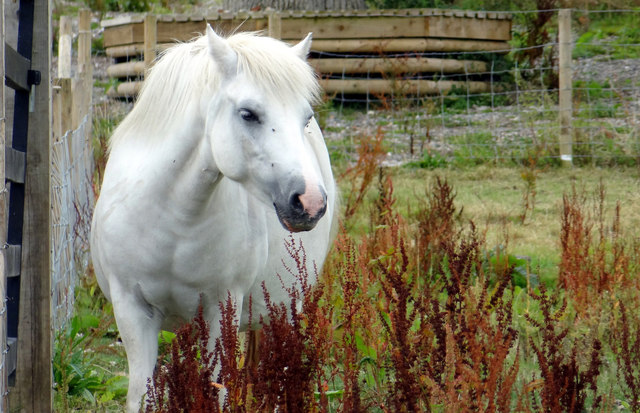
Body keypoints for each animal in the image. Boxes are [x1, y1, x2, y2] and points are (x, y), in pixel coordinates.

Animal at [92, 26, 338, 412]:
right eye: (248, 114)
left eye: (306, 118)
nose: (310, 202)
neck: (173, 222)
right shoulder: (132, 311)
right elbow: (141, 397)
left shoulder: (221, 311)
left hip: (289, 308)